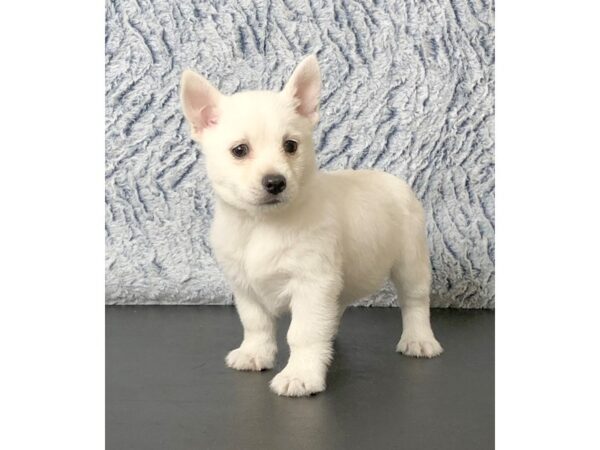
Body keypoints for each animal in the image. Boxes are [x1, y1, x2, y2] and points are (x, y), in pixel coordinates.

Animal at [180, 55, 442, 398]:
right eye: (240, 150)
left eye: (291, 146)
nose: (275, 182)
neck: (261, 224)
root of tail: (394, 180)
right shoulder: (245, 287)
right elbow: (256, 323)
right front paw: (255, 353)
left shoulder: (311, 284)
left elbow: (302, 333)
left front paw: (301, 374)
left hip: (411, 264)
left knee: (415, 302)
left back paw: (419, 339)